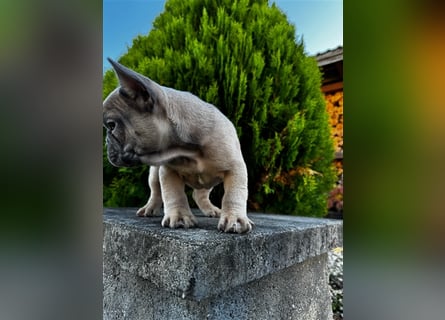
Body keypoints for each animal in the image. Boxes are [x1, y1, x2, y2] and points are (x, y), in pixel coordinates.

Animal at [102, 58, 251, 232]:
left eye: (111, 125)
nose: (106, 142)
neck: (187, 150)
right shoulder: (168, 171)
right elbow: (174, 193)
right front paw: (180, 217)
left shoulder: (235, 168)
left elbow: (234, 194)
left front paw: (235, 219)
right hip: (154, 174)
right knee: (156, 191)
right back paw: (149, 208)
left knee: (199, 194)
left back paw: (211, 209)